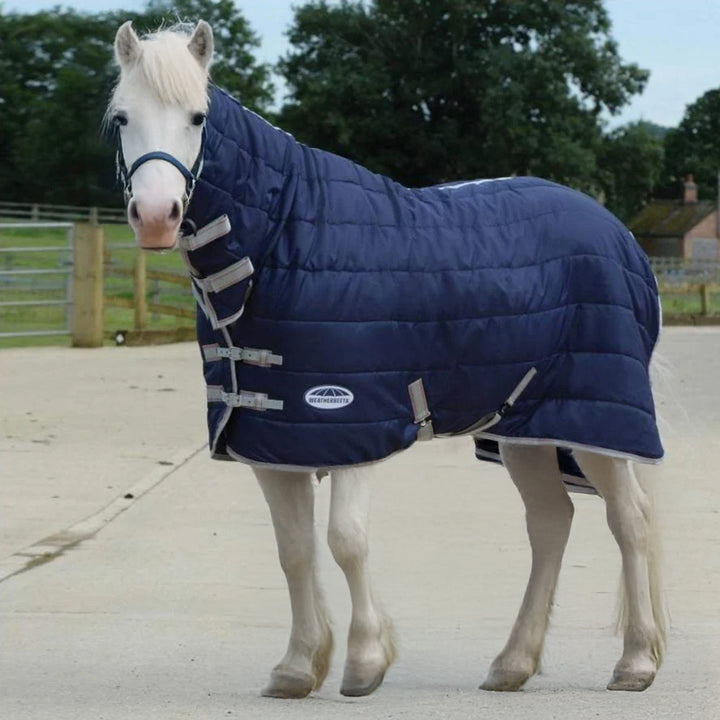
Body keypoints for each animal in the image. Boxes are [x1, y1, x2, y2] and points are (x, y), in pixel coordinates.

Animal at [108, 20, 667, 698]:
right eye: (122, 118)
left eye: (197, 118)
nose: (155, 217)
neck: (281, 244)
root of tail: (620, 235)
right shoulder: (273, 437)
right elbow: (293, 550)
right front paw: (298, 666)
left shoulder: (350, 420)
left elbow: (346, 541)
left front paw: (365, 661)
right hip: (525, 427)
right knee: (550, 521)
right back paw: (513, 663)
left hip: (597, 420)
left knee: (629, 519)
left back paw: (635, 662)